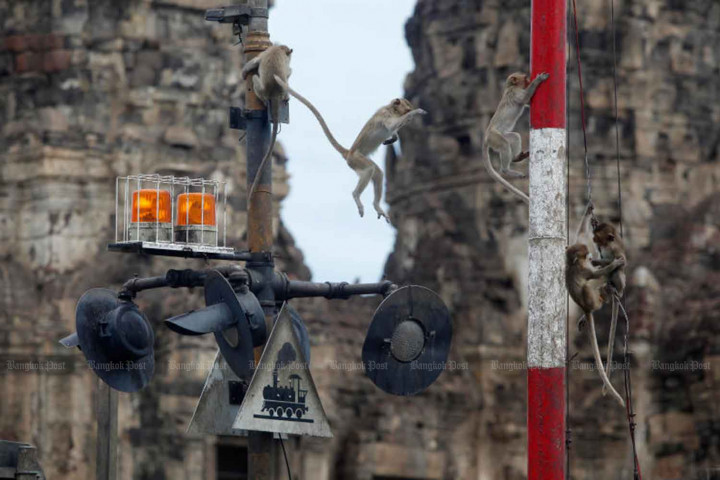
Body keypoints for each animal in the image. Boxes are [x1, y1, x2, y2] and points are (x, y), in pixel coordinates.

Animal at [241, 45, 293, 200]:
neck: (279, 48)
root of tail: (274, 92)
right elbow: (288, 71)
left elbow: (255, 62)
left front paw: (244, 72)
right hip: (262, 88)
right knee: (258, 77)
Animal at [274, 75, 426, 222]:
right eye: (407, 109)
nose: (410, 115)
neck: (391, 109)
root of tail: (348, 153)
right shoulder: (385, 114)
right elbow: (392, 125)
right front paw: (416, 113)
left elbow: (393, 129)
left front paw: (393, 138)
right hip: (356, 160)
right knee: (369, 169)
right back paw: (356, 195)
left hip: (358, 159)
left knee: (378, 173)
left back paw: (376, 206)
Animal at [483, 72, 549, 204]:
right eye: (525, 78)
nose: (528, 81)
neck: (510, 86)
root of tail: (486, 137)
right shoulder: (515, 92)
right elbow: (525, 99)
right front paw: (539, 79)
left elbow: (527, 102)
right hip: (494, 137)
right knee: (504, 145)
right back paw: (506, 170)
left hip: (500, 135)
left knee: (514, 137)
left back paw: (515, 158)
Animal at [566, 242, 626, 407]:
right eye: (586, 254)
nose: (591, 256)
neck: (573, 264)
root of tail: (586, 308)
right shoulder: (583, 270)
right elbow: (595, 274)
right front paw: (615, 263)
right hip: (590, 299)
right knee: (587, 287)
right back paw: (604, 295)